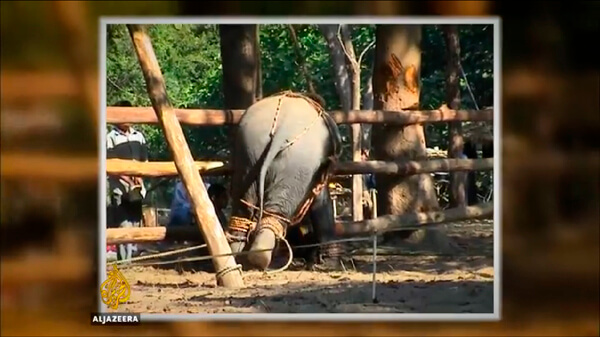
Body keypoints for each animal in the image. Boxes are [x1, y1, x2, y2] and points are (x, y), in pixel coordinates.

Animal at [226, 92, 344, 270]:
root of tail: (281, 130)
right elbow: (320, 202)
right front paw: (327, 265)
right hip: (299, 162)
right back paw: (261, 258)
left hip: (248, 151)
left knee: (244, 207)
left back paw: (238, 257)